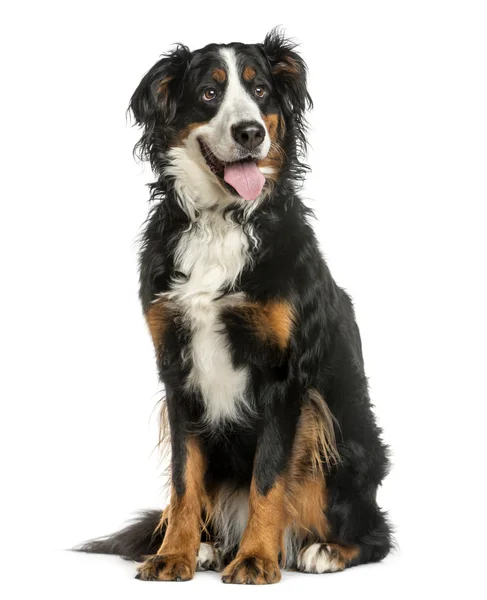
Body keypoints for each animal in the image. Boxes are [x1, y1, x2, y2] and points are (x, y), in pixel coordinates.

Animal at [79, 29, 392, 584]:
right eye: (209, 92)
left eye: (260, 90)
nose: (250, 132)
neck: (221, 221)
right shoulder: (176, 368)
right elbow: (183, 480)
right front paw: (174, 555)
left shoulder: (283, 376)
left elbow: (268, 478)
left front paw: (256, 559)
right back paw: (208, 547)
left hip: (345, 440)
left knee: (375, 531)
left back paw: (322, 551)